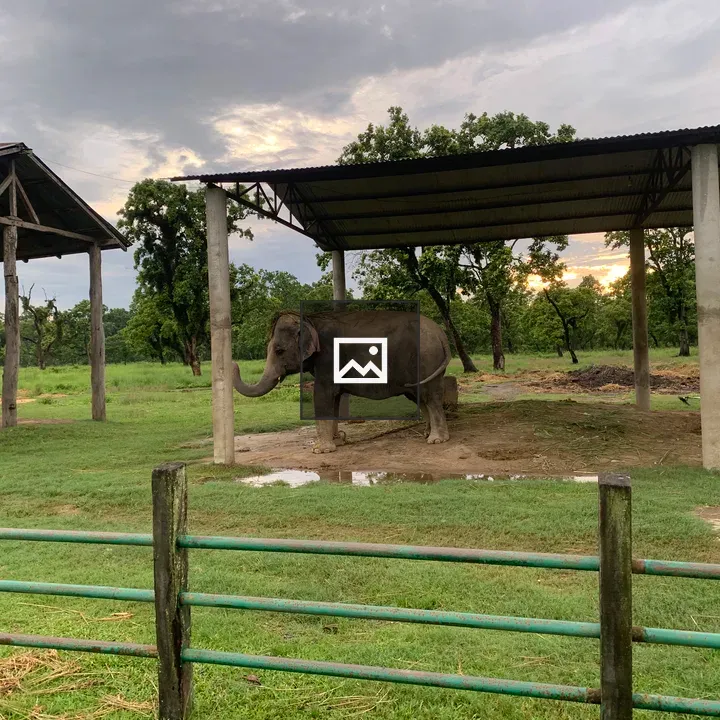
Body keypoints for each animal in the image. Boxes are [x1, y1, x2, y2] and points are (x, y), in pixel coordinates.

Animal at [232, 310, 452, 453]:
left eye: (279, 351)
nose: (234, 363)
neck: (311, 321)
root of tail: (442, 334)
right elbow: (334, 399)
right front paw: (338, 442)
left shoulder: (328, 358)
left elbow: (322, 396)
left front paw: (320, 450)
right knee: (421, 398)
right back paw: (428, 434)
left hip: (427, 360)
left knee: (430, 397)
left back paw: (436, 440)